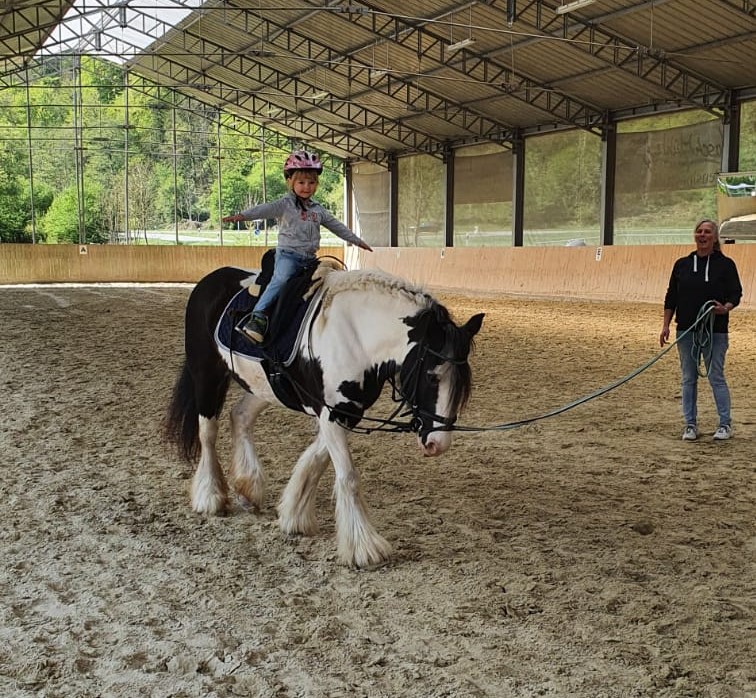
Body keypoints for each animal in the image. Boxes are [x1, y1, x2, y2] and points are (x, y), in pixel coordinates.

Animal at [164, 261, 484, 568]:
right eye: (432, 376)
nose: (437, 444)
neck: (356, 335)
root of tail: (210, 280)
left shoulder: (345, 413)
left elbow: (315, 460)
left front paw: (294, 514)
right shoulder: (331, 414)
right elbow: (348, 475)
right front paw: (364, 549)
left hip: (262, 386)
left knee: (240, 416)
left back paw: (248, 487)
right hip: (206, 375)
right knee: (208, 433)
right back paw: (210, 496)